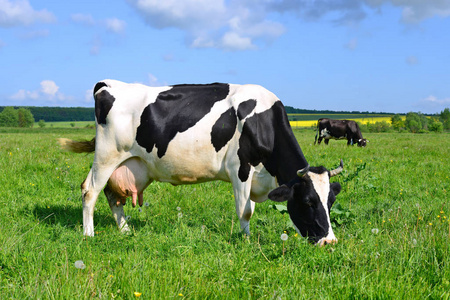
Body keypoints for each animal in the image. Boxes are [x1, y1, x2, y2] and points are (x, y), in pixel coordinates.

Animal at [58, 80, 342, 246]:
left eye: (330, 202)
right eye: (308, 202)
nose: (330, 242)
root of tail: (108, 84)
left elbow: (249, 208)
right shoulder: (240, 168)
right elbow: (245, 211)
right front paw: (246, 241)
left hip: (128, 164)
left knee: (113, 196)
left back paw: (126, 230)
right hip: (107, 155)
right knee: (90, 190)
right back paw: (89, 234)